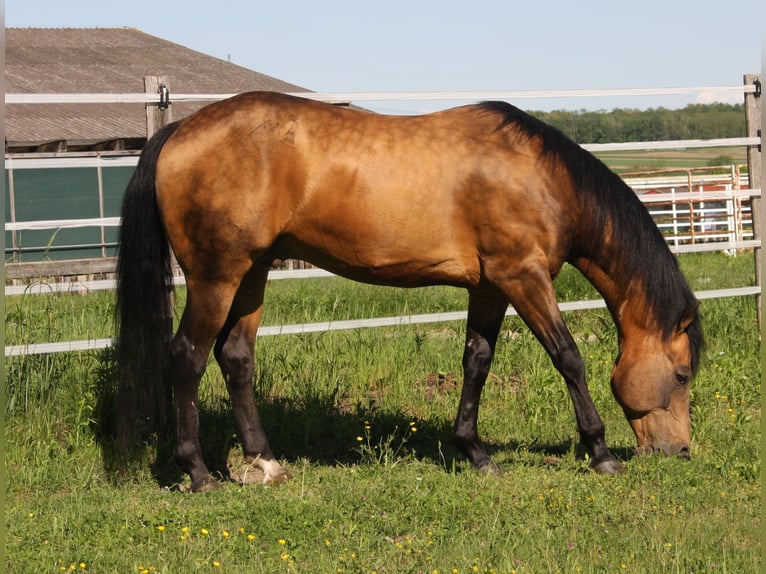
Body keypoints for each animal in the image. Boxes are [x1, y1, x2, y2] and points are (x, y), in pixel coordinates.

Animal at [115, 92, 703, 492]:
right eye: (680, 375)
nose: (679, 450)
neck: (539, 176)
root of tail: (180, 130)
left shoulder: (490, 287)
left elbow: (477, 362)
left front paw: (475, 453)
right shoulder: (524, 277)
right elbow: (569, 358)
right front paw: (601, 452)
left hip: (252, 272)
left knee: (236, 357)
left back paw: (265, 463)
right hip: (216, 276)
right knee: (187, 357)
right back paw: (197, 473)